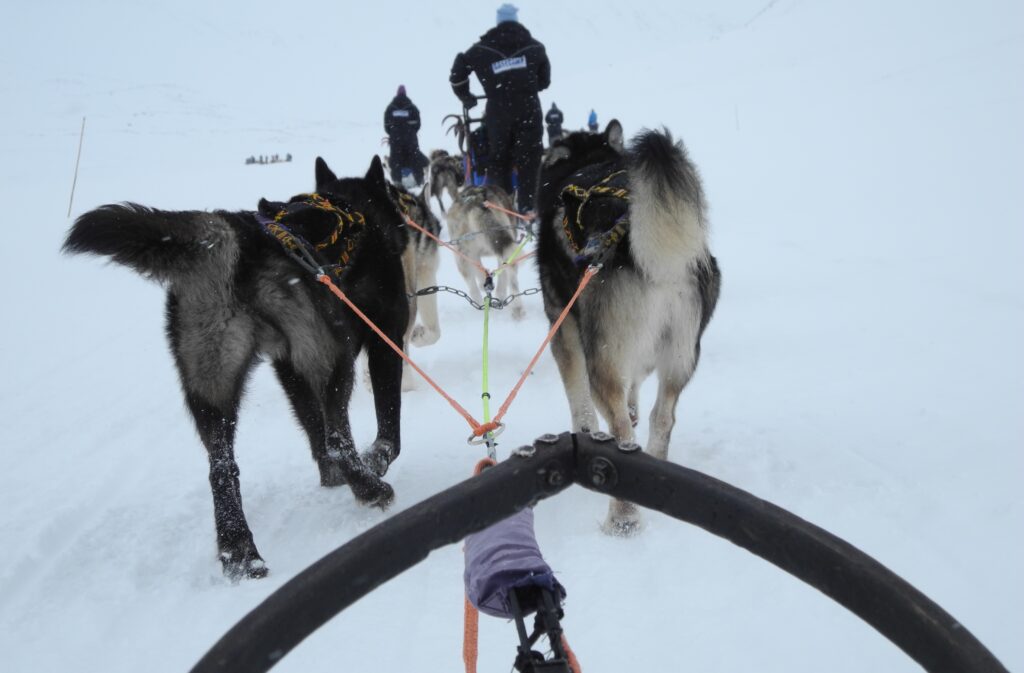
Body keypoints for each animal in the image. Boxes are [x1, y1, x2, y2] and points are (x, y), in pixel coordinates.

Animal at [61, 155, 407, 577]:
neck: (357, 213)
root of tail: (235, 238)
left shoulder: (286, 364)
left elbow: (311, 425)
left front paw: (331, 478)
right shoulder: (386, 339)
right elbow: (387, 428)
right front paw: (371, 464)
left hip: (212, 385)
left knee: (222, 468)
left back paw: (238, 549)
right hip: (333, 358)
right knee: (338, 439)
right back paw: (370, 489)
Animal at [536, 119, 720, 528]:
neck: (591, 160)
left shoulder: (563, 328)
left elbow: (581, 406)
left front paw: (586, 434)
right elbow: (635, 380)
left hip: (600, 357)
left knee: (621, 434)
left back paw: (624, 517)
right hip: (680, 356)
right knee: (662, 416)